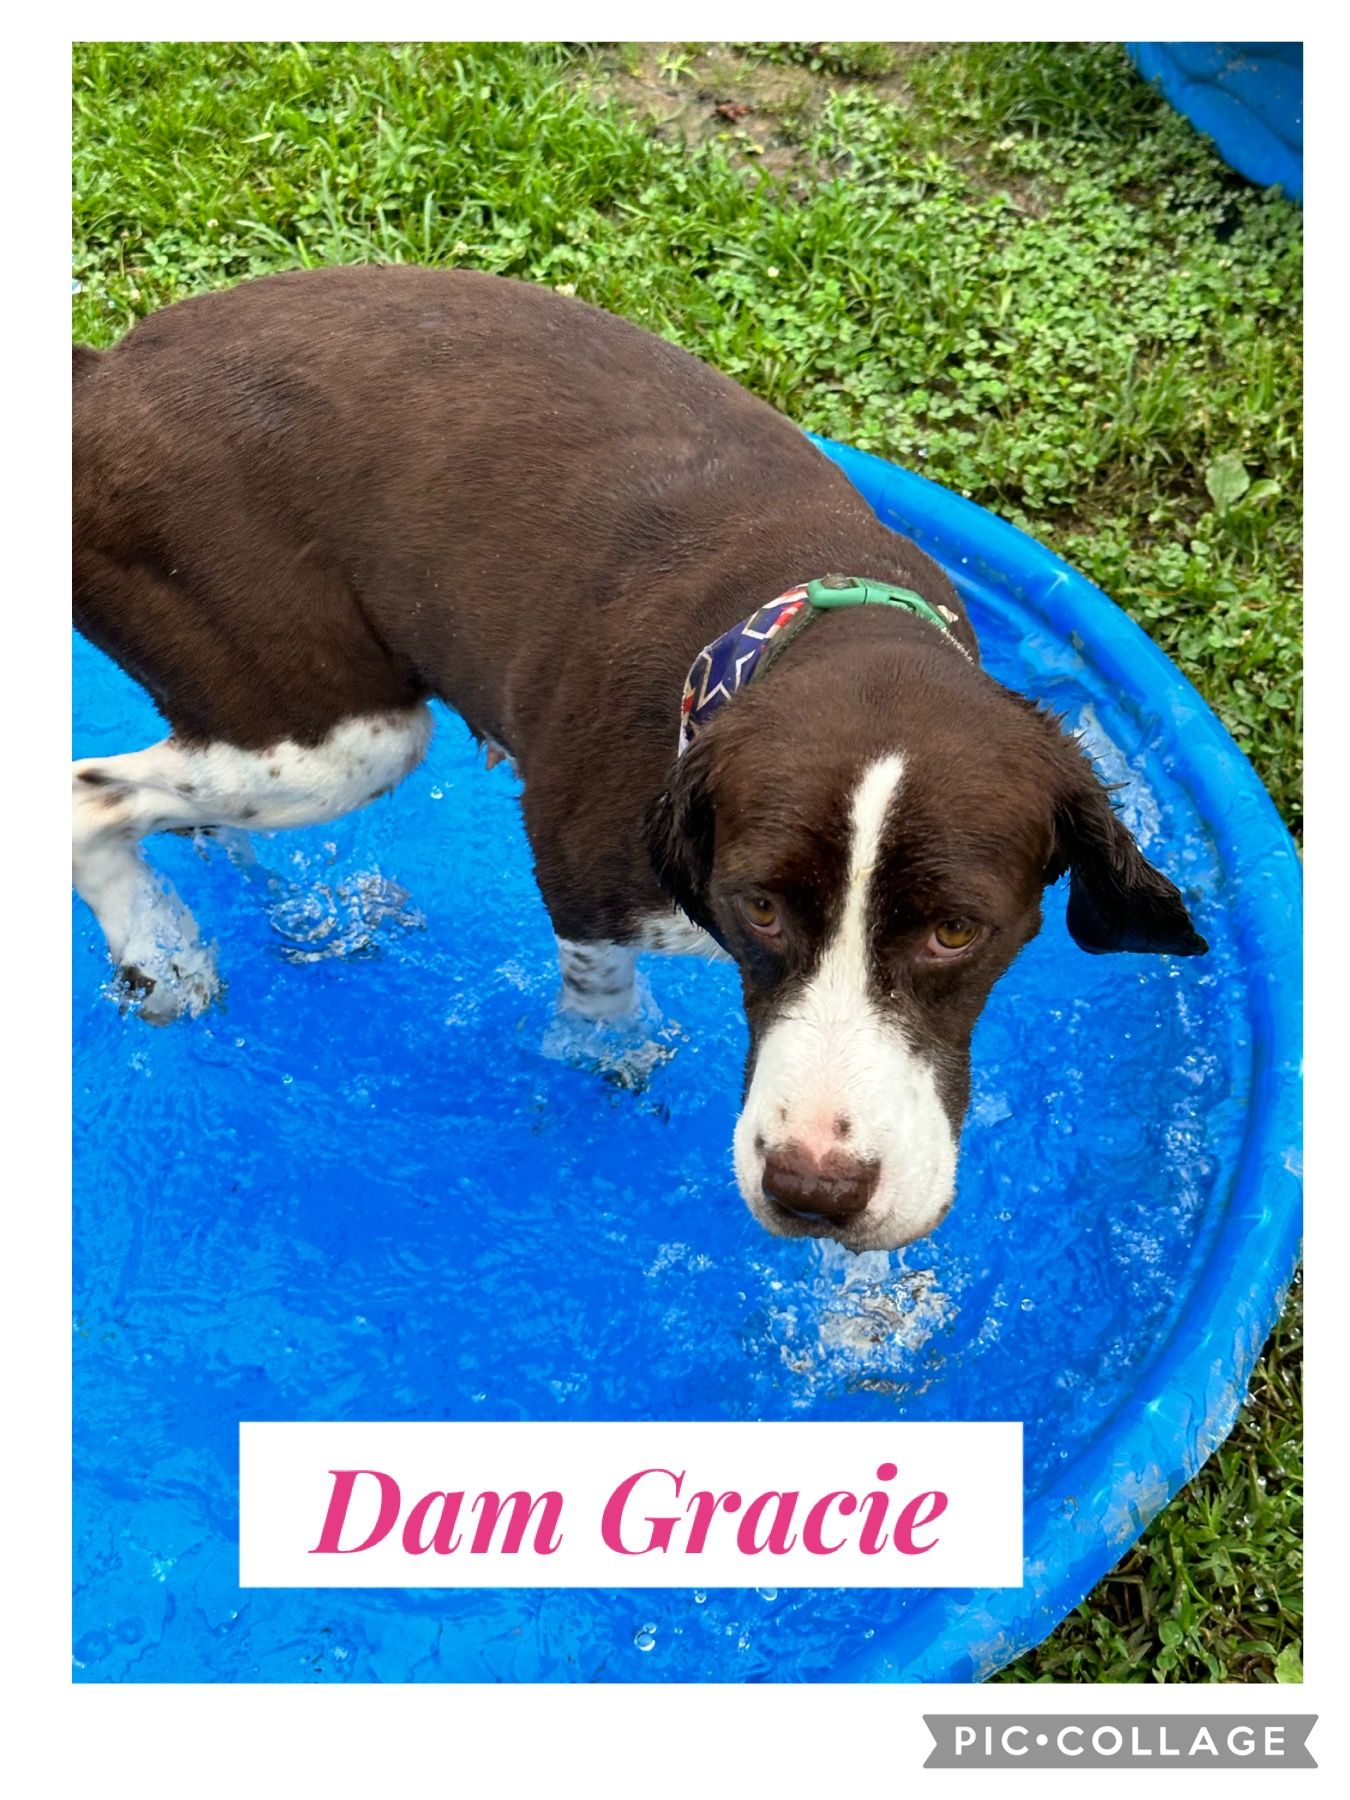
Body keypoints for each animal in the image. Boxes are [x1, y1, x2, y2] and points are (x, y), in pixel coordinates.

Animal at [73, 264, 1207, 1252]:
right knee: (90, 800)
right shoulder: (581, 872)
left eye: (957, 931)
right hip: (340, 734)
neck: (811, 621)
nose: (814, 1192)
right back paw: (163, 953)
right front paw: (614, 1059)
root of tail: (100, 372)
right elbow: (601, 1003)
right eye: (759, 906)